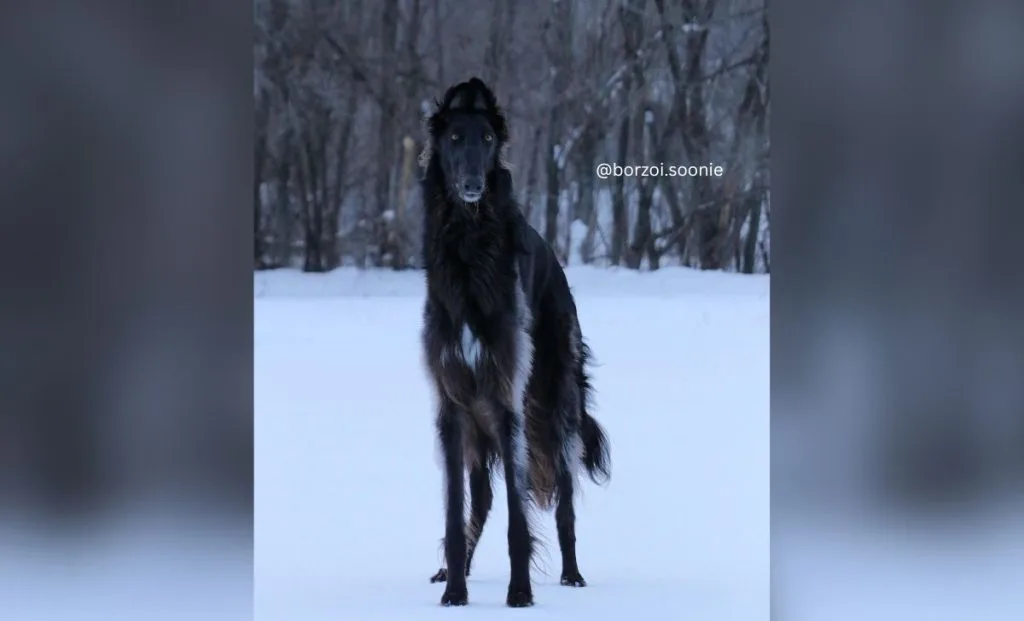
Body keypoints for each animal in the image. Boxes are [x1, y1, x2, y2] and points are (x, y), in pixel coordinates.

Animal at [419, 77, 610, 606]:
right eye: (455, 139)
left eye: (486, 140)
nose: (472, 185)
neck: (469, 250)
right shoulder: (452, 407)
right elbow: (455, 510)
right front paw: (455, 592)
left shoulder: (508, 404)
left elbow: (519, 520)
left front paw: (520, 592)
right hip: (478, 427)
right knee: (480, 499)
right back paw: (454, 569)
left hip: (557, 406)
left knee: (564, 503)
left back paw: (573, 574)